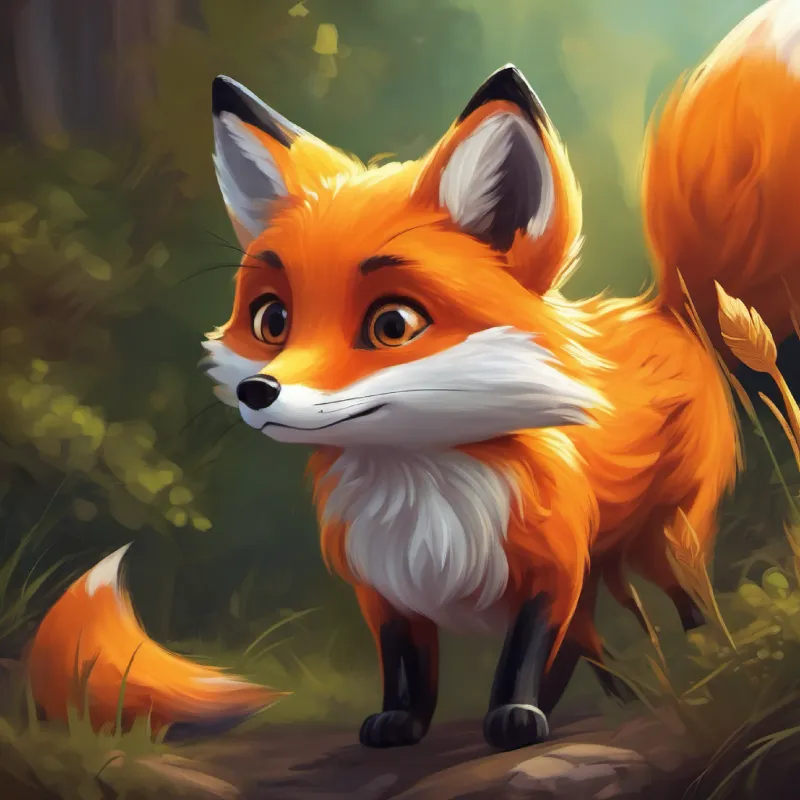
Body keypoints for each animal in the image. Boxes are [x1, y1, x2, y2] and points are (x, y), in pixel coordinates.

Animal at [27, 0, 800, 751]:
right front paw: (401, 724)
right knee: (603, 638)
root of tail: (663, 306)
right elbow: (407, 668)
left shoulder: (550, 571)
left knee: (684, 605)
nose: (257, 391)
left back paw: (698, 670)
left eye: (393, 324)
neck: (423, 496)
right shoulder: (385, 589)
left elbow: (525, 654)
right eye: (272, 319)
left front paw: (514, 717)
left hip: (669, 539)